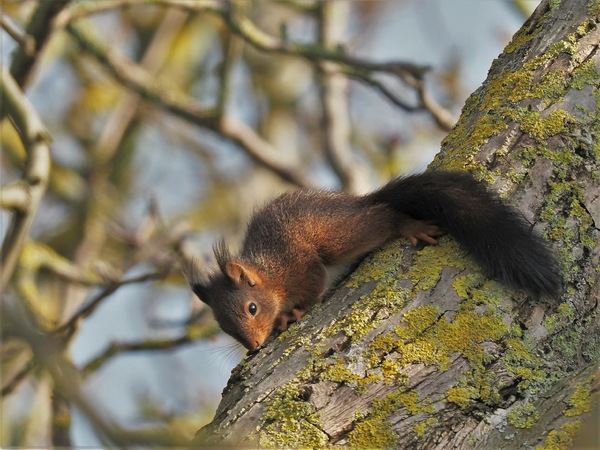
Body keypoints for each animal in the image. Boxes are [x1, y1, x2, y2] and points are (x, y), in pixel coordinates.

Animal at [184, 171, 564, 350]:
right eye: (223, 326)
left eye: (252, 308)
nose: (253, 347)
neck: (270, 274)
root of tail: (355, 202)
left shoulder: (298, 265)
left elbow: (313, 286)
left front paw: (290, 314)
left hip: (340, 236)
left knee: (383, 216)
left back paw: (407, 225)